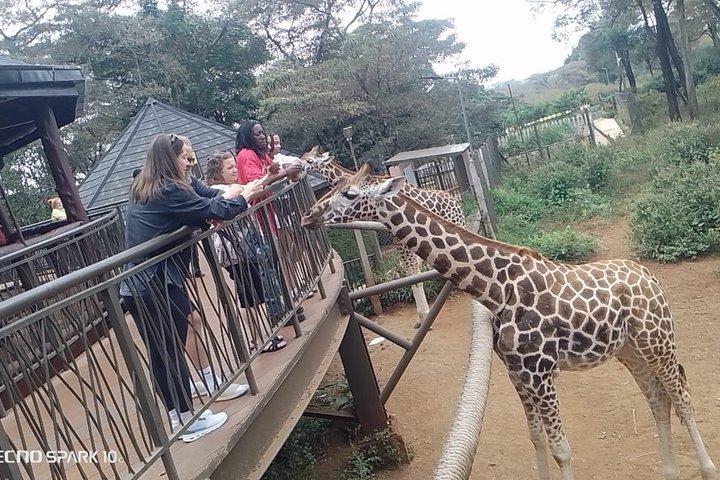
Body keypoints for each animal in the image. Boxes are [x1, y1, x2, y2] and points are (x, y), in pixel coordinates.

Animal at [300, 149, 467, 326]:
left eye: (309, 161)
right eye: (302, 158)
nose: (298, 170)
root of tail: (455, 201)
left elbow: (414, 274)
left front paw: (424, 315)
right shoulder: (397, 239)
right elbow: (411, 273)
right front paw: (421, 317)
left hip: (457, 225)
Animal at [300, 172, 717, 480]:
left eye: (349, 193)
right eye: (332, 189)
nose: (307, 216)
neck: (495, 290)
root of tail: (649, 275)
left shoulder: (541, 372)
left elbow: (562, 449)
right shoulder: (517, 372)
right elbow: (536, 439)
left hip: (657, 340)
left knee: (682, 394)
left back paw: (708, 469)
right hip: (629, 349)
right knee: (658, 399)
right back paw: (670, 471)